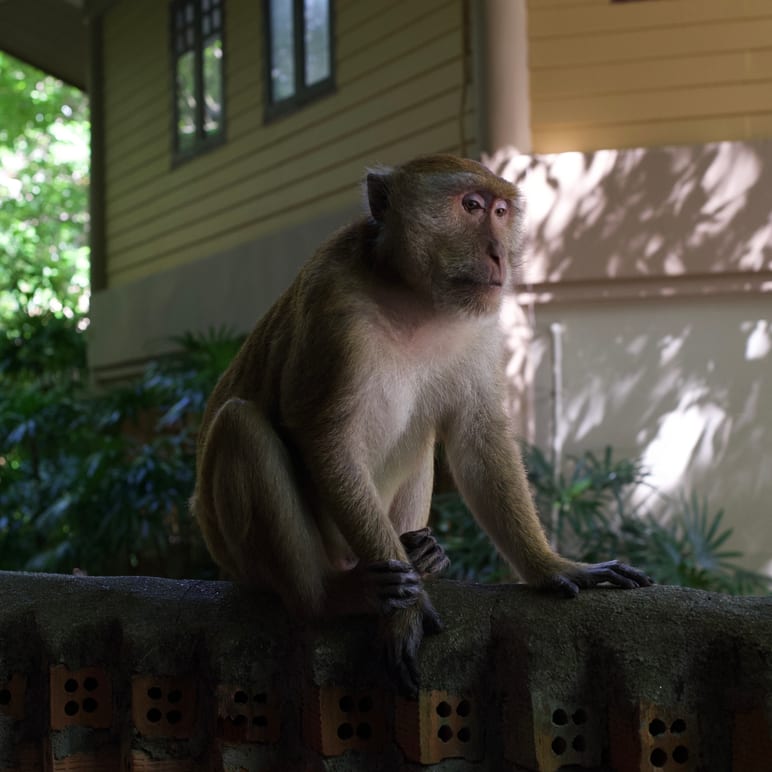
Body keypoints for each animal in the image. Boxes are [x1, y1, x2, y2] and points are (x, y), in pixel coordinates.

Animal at [191, 154, 652, 697]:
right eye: (470, 206)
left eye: (500, 212)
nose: (499, 254)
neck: (413, 297)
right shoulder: (335, 310)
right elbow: (327, 439)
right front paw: (403, 613)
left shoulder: (481, 325)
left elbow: (477, 441)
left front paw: (553, 568)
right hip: (240, 554)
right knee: (241, 425)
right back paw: (329, 596)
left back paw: (422, 555)